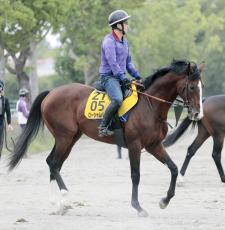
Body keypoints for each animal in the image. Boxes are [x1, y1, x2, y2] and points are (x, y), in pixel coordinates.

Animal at [8, 60, 203, 217]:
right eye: (192, 87)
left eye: (201, 87)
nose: (197, 114)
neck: (150, 105)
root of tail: (51, 93)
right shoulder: (135, 146)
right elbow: (136, 175)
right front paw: (138, 207)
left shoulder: (154, 146)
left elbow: (173, 168)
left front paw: (165, 200)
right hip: (65, 137)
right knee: (54, 163)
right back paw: (64, 196)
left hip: (70, 139)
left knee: (52, 163)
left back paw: (58, 205)